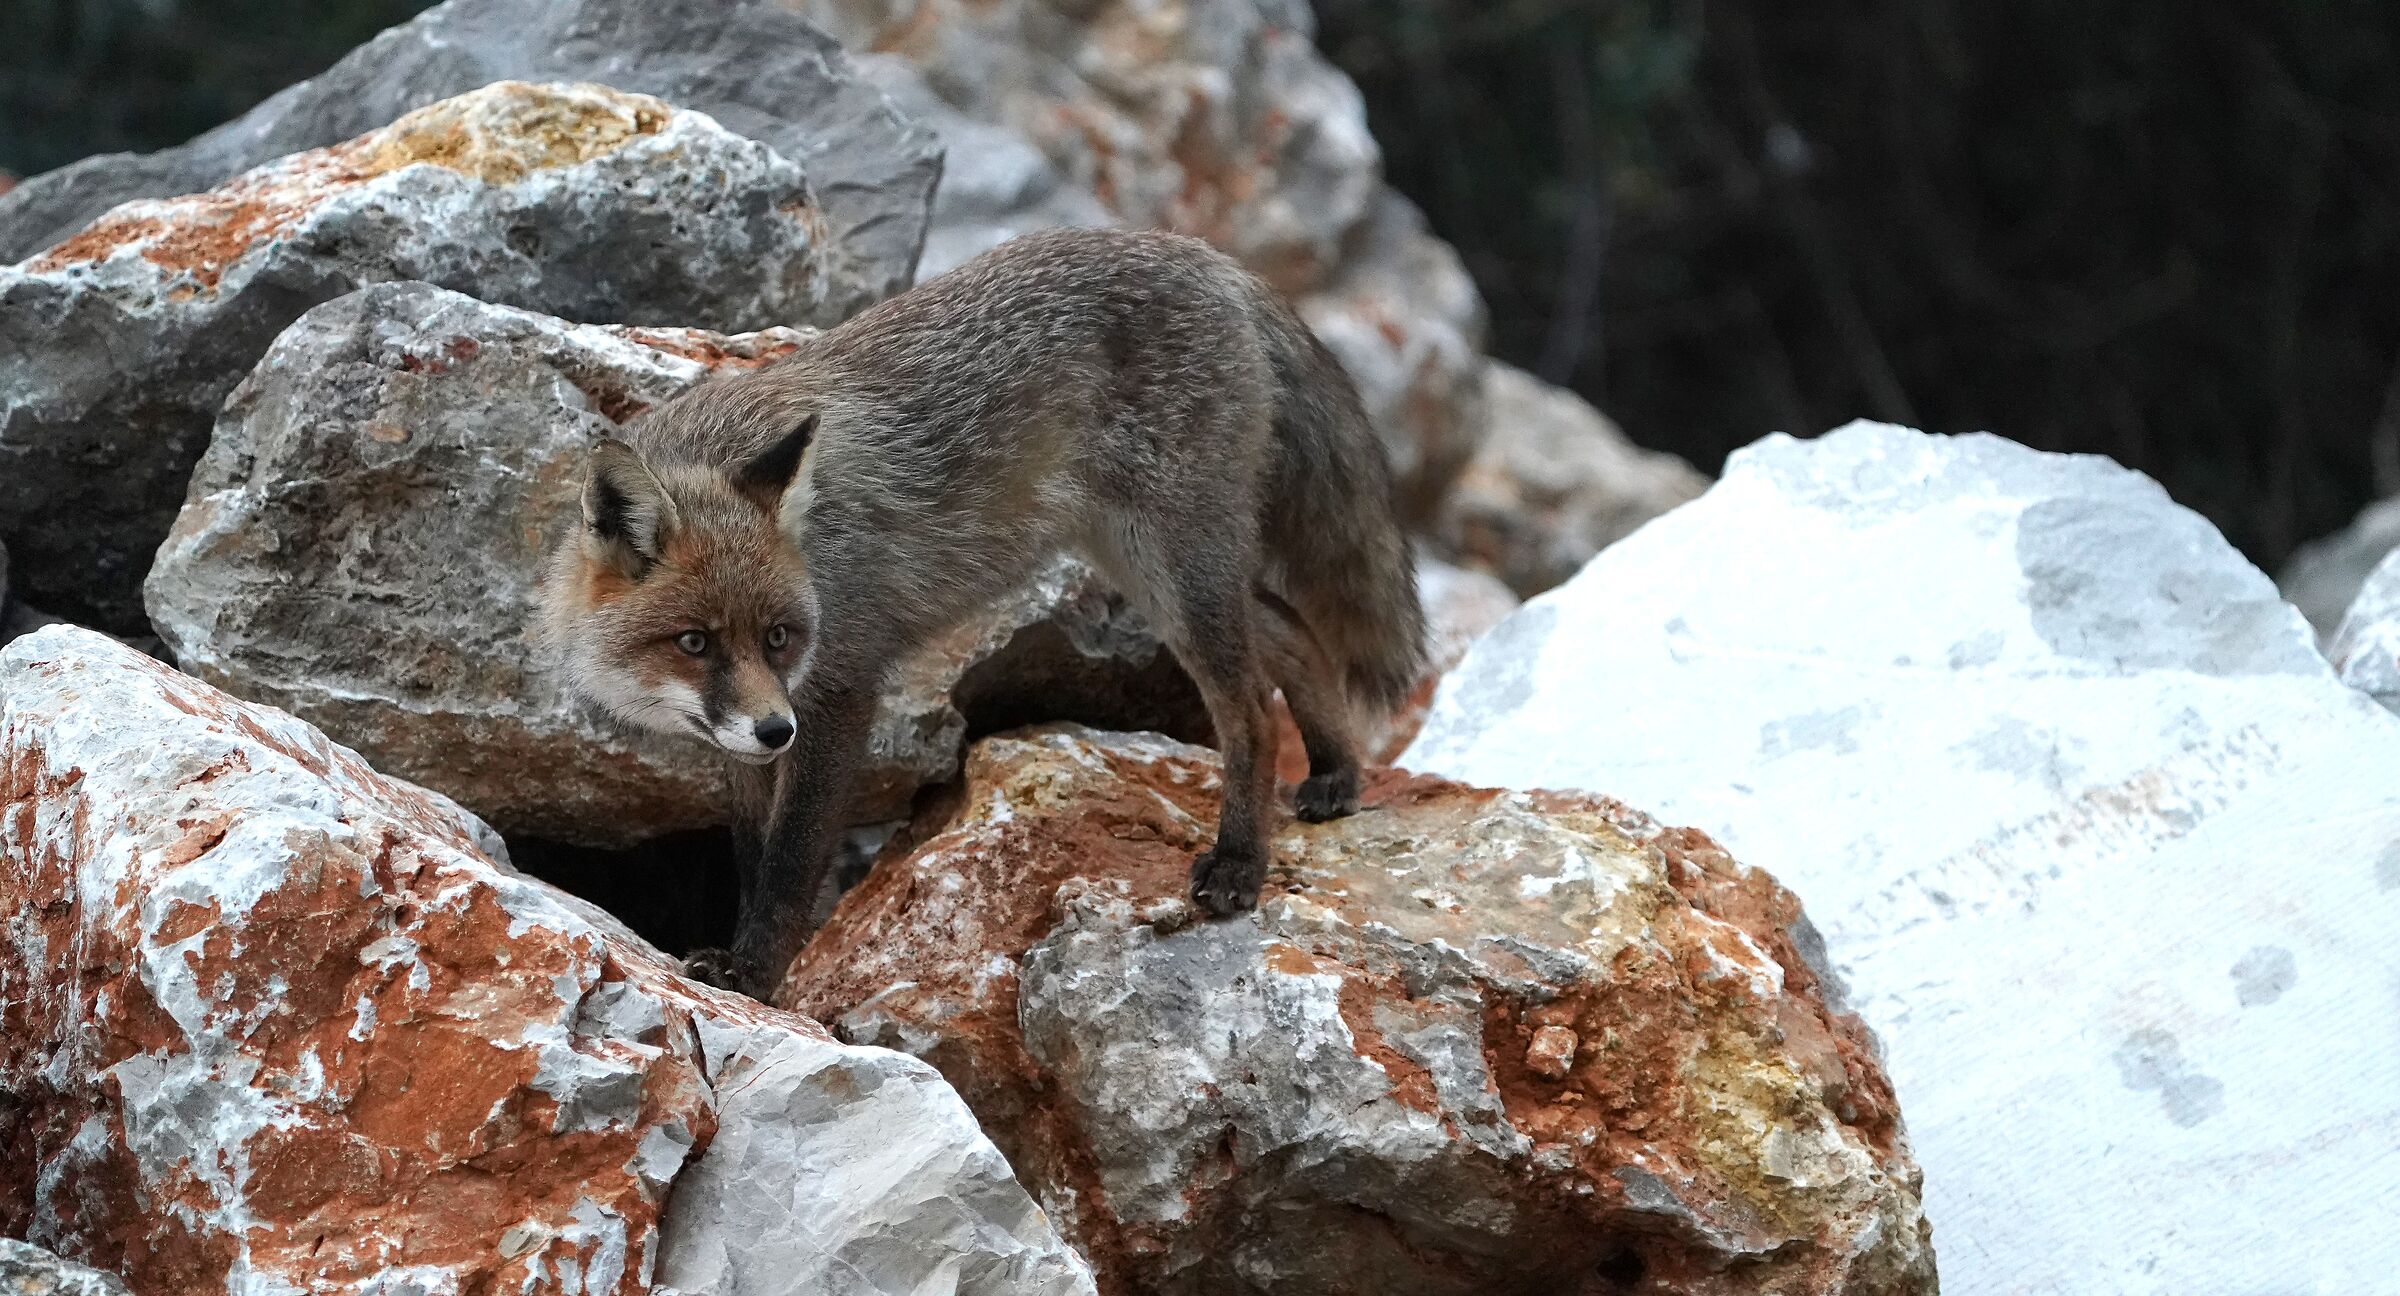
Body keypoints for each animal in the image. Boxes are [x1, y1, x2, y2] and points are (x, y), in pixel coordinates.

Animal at [540, 226, 1427, 998]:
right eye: (694, 642)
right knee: (1293, 632)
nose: (772, 731)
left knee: (1249, 709)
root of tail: (1208, 256)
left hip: (1175, 564)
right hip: (1146, 566)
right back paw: (1337, 774)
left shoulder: (839, 687)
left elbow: (790, 865)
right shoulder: (752, 739)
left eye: (780, 636)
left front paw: (755, 975)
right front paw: (739, 954)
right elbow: (754, 856)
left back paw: (1240, 861)